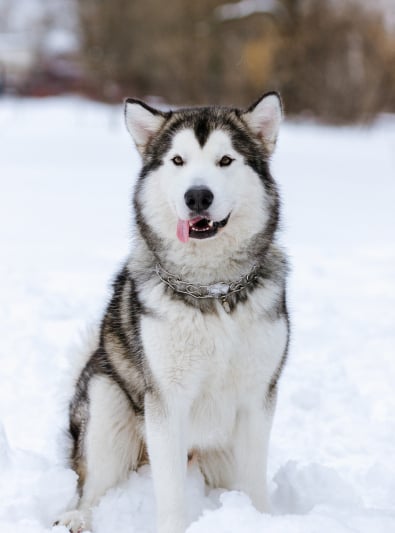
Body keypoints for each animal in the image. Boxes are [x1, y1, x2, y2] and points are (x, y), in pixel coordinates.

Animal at [55, 92, 290, 532]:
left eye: (225, 160)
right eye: (178, 160)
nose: (197, 196)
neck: (213, 288)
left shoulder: (257, 396)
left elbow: (254, 480)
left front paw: (262, 519)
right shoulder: (166, 400)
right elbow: (171, 493)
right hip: (106, 405)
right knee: (91, 487)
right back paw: (77, 517)